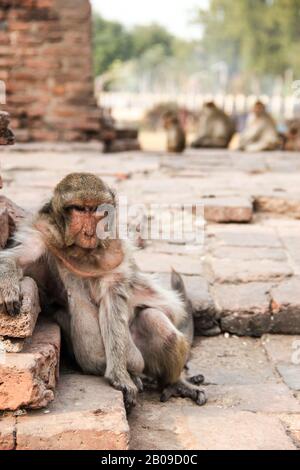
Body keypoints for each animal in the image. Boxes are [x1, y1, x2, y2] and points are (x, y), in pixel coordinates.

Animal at [0, 173, 206, 412]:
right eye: (79, 209)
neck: (82, 252)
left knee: (155, 322)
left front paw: (119, 375)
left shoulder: (115, 251)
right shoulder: (42, 233)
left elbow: (113, 303)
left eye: (96, 209)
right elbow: (16, 259)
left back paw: (173, 382)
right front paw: (8, 285)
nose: (91, 226)